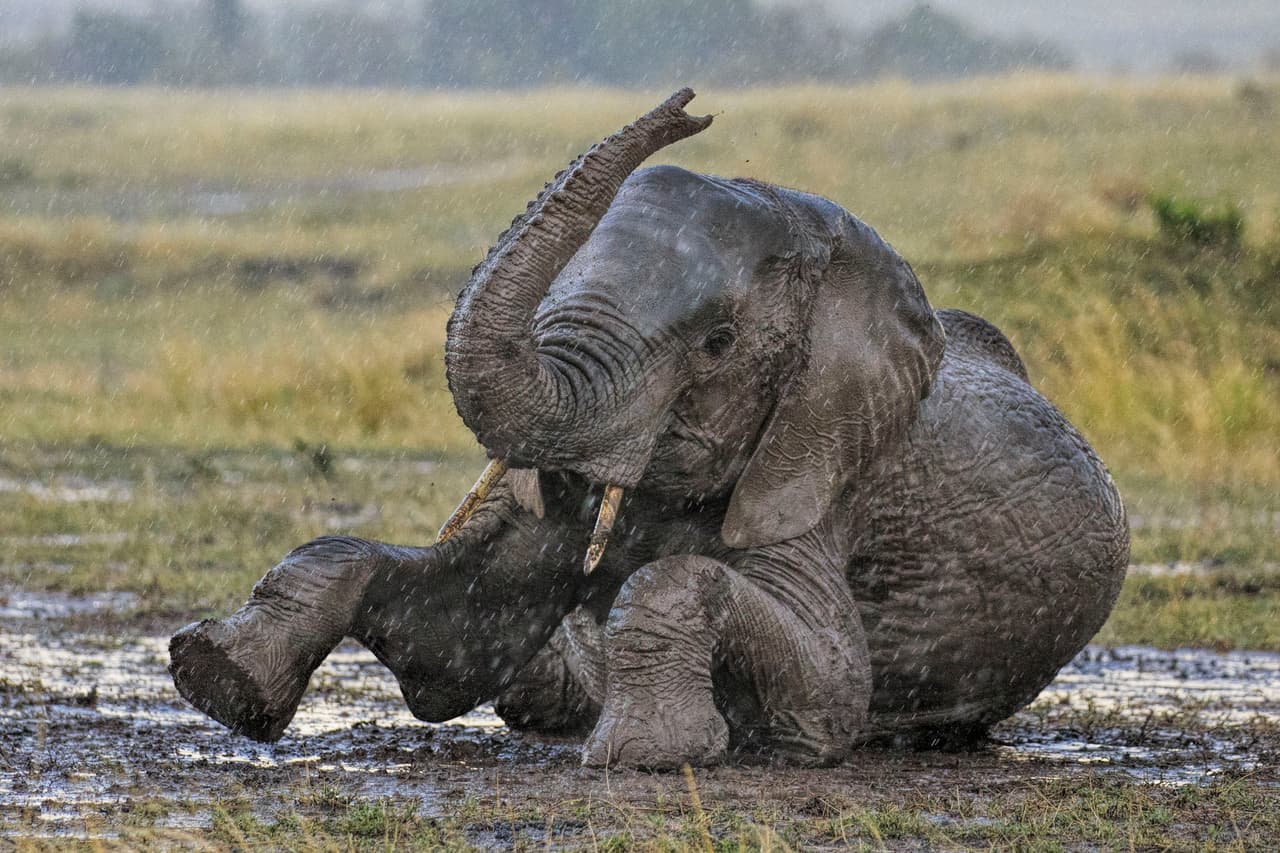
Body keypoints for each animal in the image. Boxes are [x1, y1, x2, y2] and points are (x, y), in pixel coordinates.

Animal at [169, 89, 1128, 769]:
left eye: (718, 343)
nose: (688, 109)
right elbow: (452, 637)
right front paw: (216, 676)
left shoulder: (825, 475)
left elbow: (825, 692)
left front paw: (649, 754)